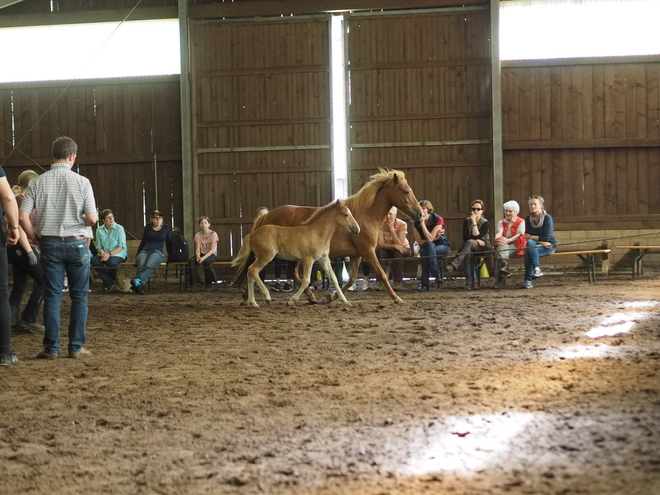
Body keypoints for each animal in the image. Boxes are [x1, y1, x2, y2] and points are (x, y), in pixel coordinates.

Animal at [237, 169, 422, 304]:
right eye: (406, 191)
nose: (419, 214)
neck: (365, 215)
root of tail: (265, 216)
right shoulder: (368, 251)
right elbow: (382, 274)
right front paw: (397, 298)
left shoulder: (356, 255)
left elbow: (350, 279)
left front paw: (332, 297)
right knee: (259, 270)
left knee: (276, 272)